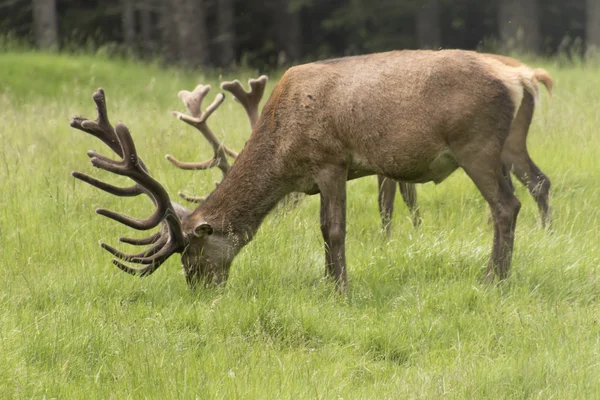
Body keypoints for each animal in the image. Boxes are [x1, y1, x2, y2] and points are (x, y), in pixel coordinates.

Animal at [378, 54, 556, 234]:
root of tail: (528, 75)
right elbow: (406, 196)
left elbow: (387, 201)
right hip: (510, 144)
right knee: (537, 181)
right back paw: (546, 231)